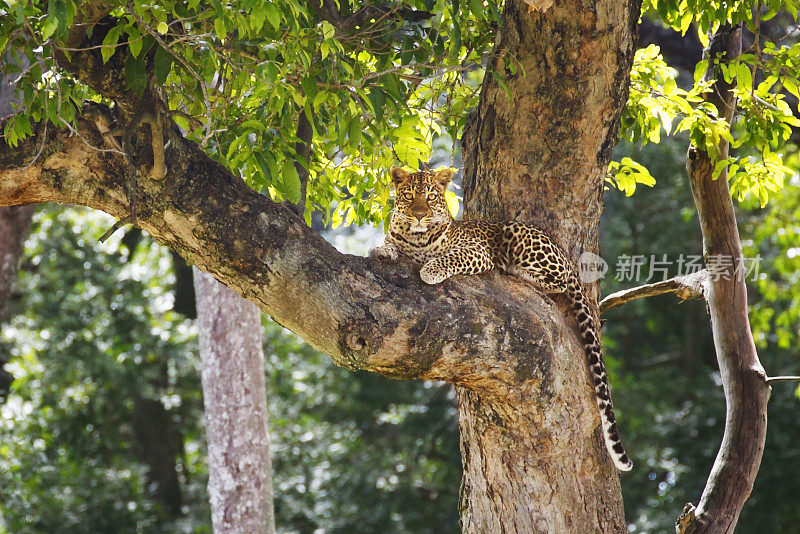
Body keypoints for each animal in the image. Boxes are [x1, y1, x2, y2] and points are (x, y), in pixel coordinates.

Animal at [372, 166, 636, 474]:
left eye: (431, 198)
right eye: (409, 196)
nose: (418, 215)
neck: (415, 239)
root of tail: (567, 258)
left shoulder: (476, 251)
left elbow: (449, 258)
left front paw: (430, 270)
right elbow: (389, 243)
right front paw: (381, 250)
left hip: (521, 238)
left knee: (558, 282)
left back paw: (516, 272)